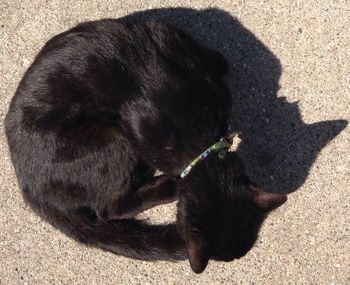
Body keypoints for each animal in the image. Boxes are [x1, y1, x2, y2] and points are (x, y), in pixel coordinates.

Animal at [3, 16, 288, 272]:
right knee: (110, 208)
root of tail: (30, 189)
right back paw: (168, 185)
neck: (198, 137)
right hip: (113, 140)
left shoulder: (169, 36)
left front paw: (218, 60)